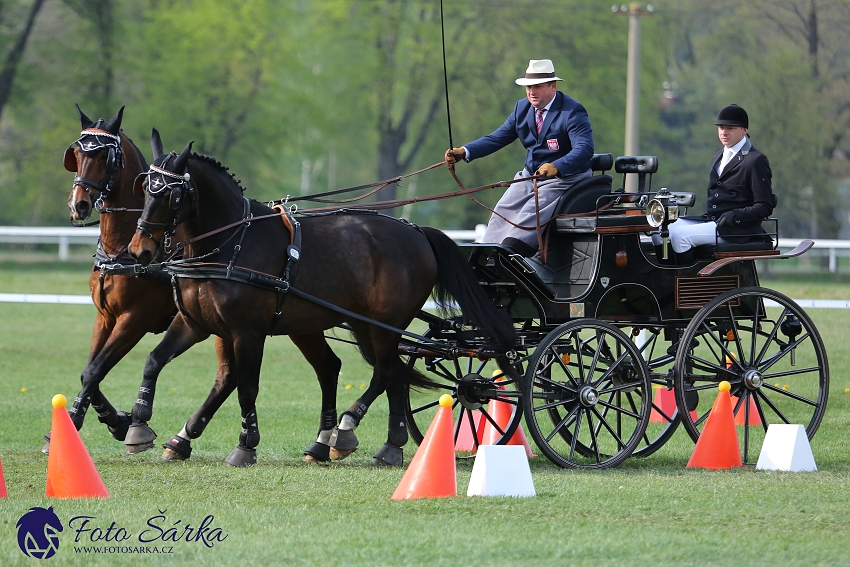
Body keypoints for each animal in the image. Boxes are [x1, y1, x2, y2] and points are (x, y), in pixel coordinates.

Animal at [122, 131, 512, 468]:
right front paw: (143, 426)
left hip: (386, 324)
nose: (140, 251)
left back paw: (346, 428)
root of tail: (416, 231)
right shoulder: (197, 324)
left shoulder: (248, 331)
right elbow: (157, 362)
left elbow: (246, 386)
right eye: (145, 188)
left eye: (171, 194)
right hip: (351, 324)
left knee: (386, 371)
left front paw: (246, 444)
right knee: (377, 372)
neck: (231, 241)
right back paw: (383, 445)